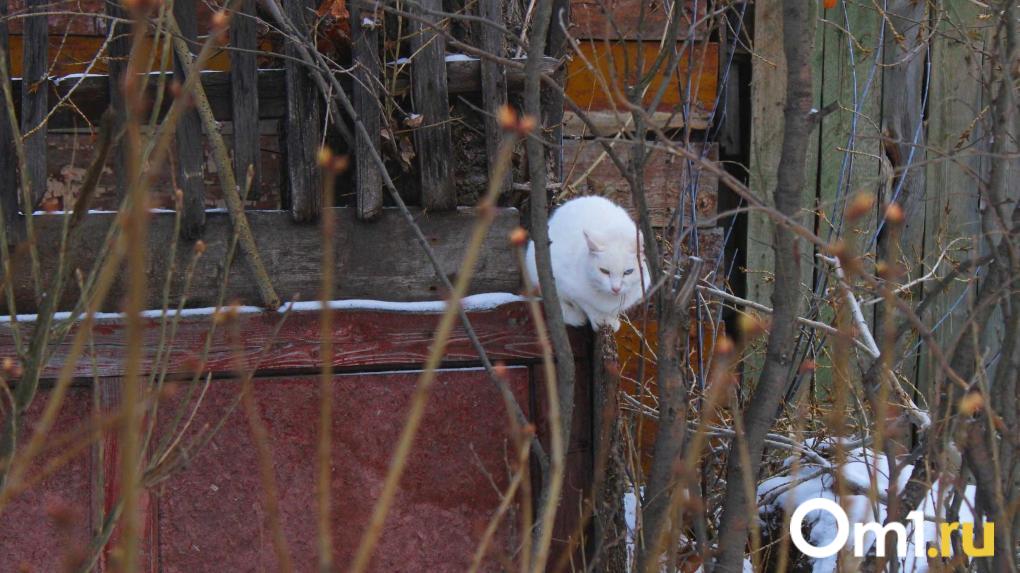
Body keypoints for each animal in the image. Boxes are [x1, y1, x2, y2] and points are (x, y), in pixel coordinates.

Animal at [525, 196, 651, 331]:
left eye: (628, 272)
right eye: (604, 271)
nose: (616, 288)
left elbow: (615, 309)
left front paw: (611, 320)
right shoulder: (566, 283)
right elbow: (587, 305)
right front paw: (598, 319)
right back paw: (574, 316)